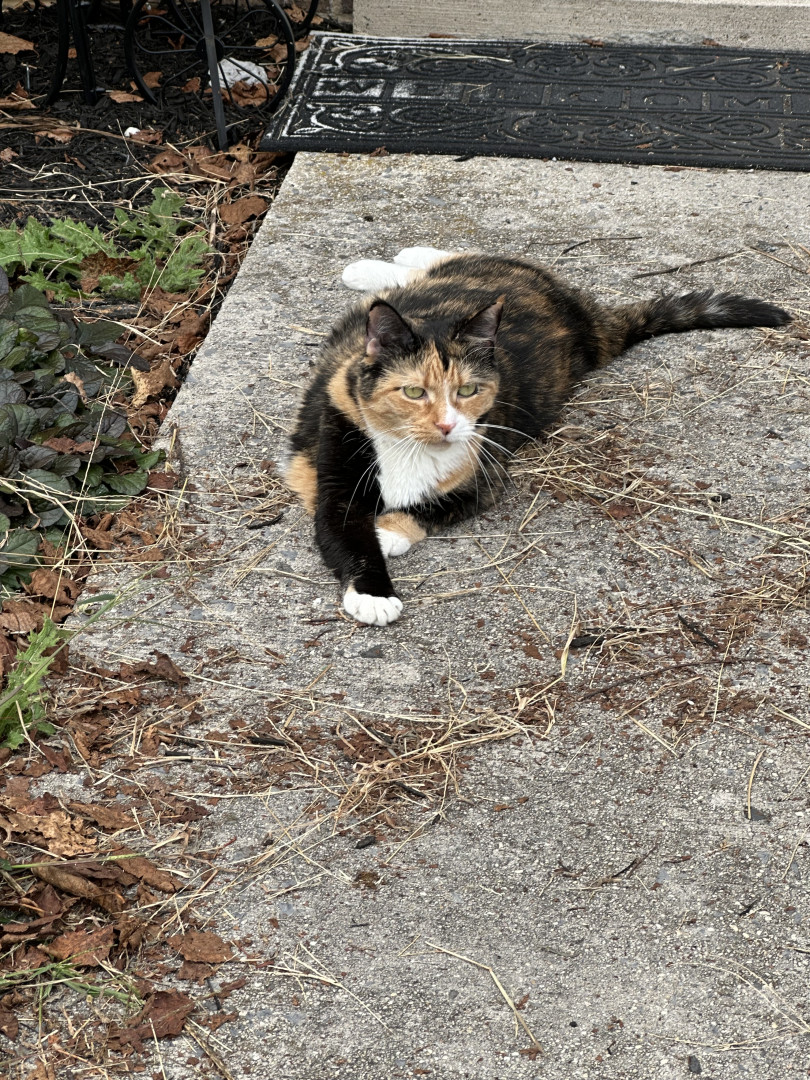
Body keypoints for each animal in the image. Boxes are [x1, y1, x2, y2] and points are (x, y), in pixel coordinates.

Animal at [286, 247, 790, 626]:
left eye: (467, 390)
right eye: (413, 391)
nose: (448, 425)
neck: (411, 449)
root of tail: (581, 312)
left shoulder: (485, 474)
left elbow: (430, 508)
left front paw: (387, 529)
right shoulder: (336, 460)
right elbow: (347, 533)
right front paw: (374, 594)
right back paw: (374, 269)